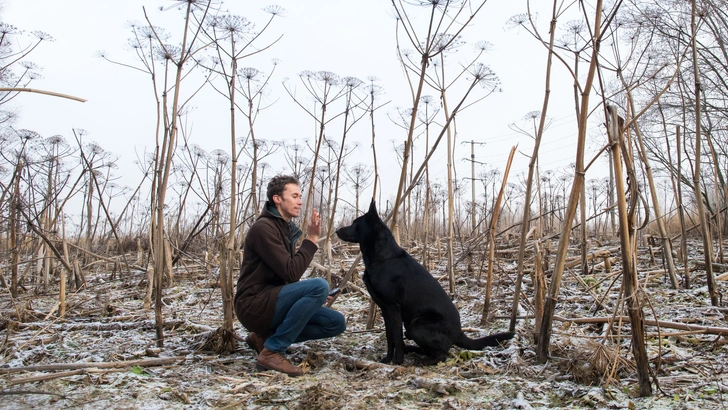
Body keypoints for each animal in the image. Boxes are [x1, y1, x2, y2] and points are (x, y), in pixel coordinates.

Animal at [334, 200, 512, 364]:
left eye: (355, 223)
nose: (336, 230)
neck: (383, 258)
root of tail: (459, 332)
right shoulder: (385, 309)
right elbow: (390, 337)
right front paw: (387, 359)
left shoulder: (393, 308)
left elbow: (396, 337)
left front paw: (397, 361)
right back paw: (412, 350)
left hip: (416, 325)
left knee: (442, 354)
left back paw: (422, 360)